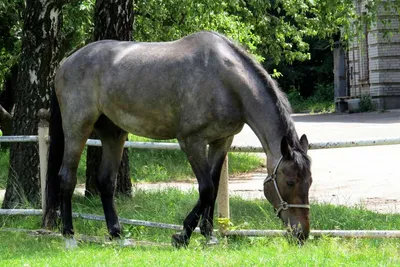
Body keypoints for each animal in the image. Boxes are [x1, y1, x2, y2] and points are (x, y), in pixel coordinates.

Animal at [43, 31, 312, 249]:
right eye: (289, 182)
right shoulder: (191, 141)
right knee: (66, 177)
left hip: (113, 134)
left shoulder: (221, 141)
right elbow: (206, 188)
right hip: (77, 128)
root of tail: (65, 63)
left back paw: (117, 235)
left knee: (106, 182)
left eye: (309, 182)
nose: (302, 234)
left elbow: (214, 188)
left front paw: (208, 236)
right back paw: (69, 236)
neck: (225, 80)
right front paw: (182, 236)